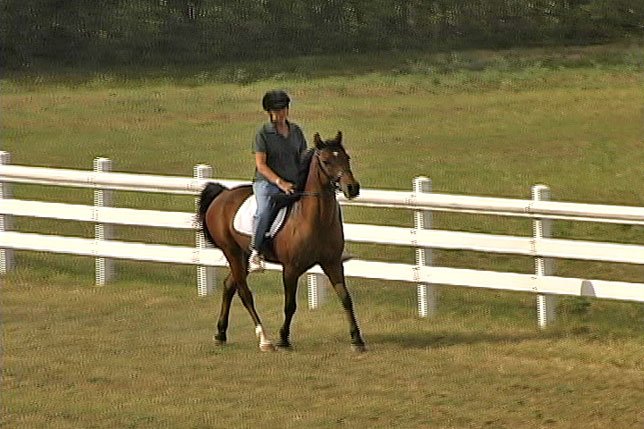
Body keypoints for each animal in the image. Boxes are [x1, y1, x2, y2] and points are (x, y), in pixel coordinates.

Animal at [196, 130, 368, 352]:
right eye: (326, 161)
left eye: (347, 158)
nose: (352, 188)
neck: (314, 219)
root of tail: (222, 195)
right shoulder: (291, 269)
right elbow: (290, 305)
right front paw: (283, 339)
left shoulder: (332, 263)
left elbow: (346, 298)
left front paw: (357, 339)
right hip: (232, 252)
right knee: (244, 293)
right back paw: (264, 340)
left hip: (242, 257)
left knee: (228, 286)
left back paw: (220, 333)